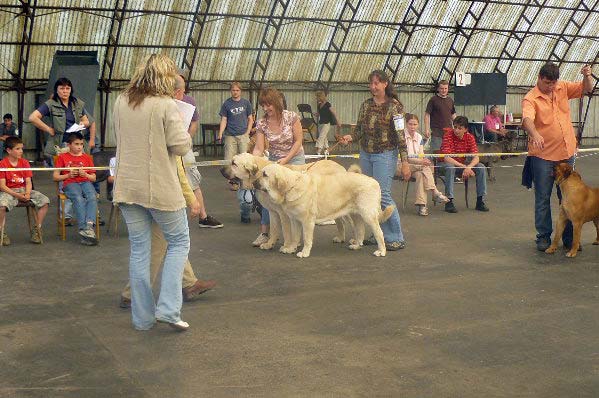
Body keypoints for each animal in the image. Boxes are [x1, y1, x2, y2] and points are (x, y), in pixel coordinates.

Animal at [253, 162, 394, 258]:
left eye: (265, 174)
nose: (253, 183)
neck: (292, 186)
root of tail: (374, 181)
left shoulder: (307, 221)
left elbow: (306, 238)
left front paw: (304, 252)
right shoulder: (294, 220)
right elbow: (295, 236)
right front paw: (291, 248)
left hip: (368, 215)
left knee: (379, 233)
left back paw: (381, 251)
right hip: (356, 215)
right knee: (360, 230)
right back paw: (356, 245)